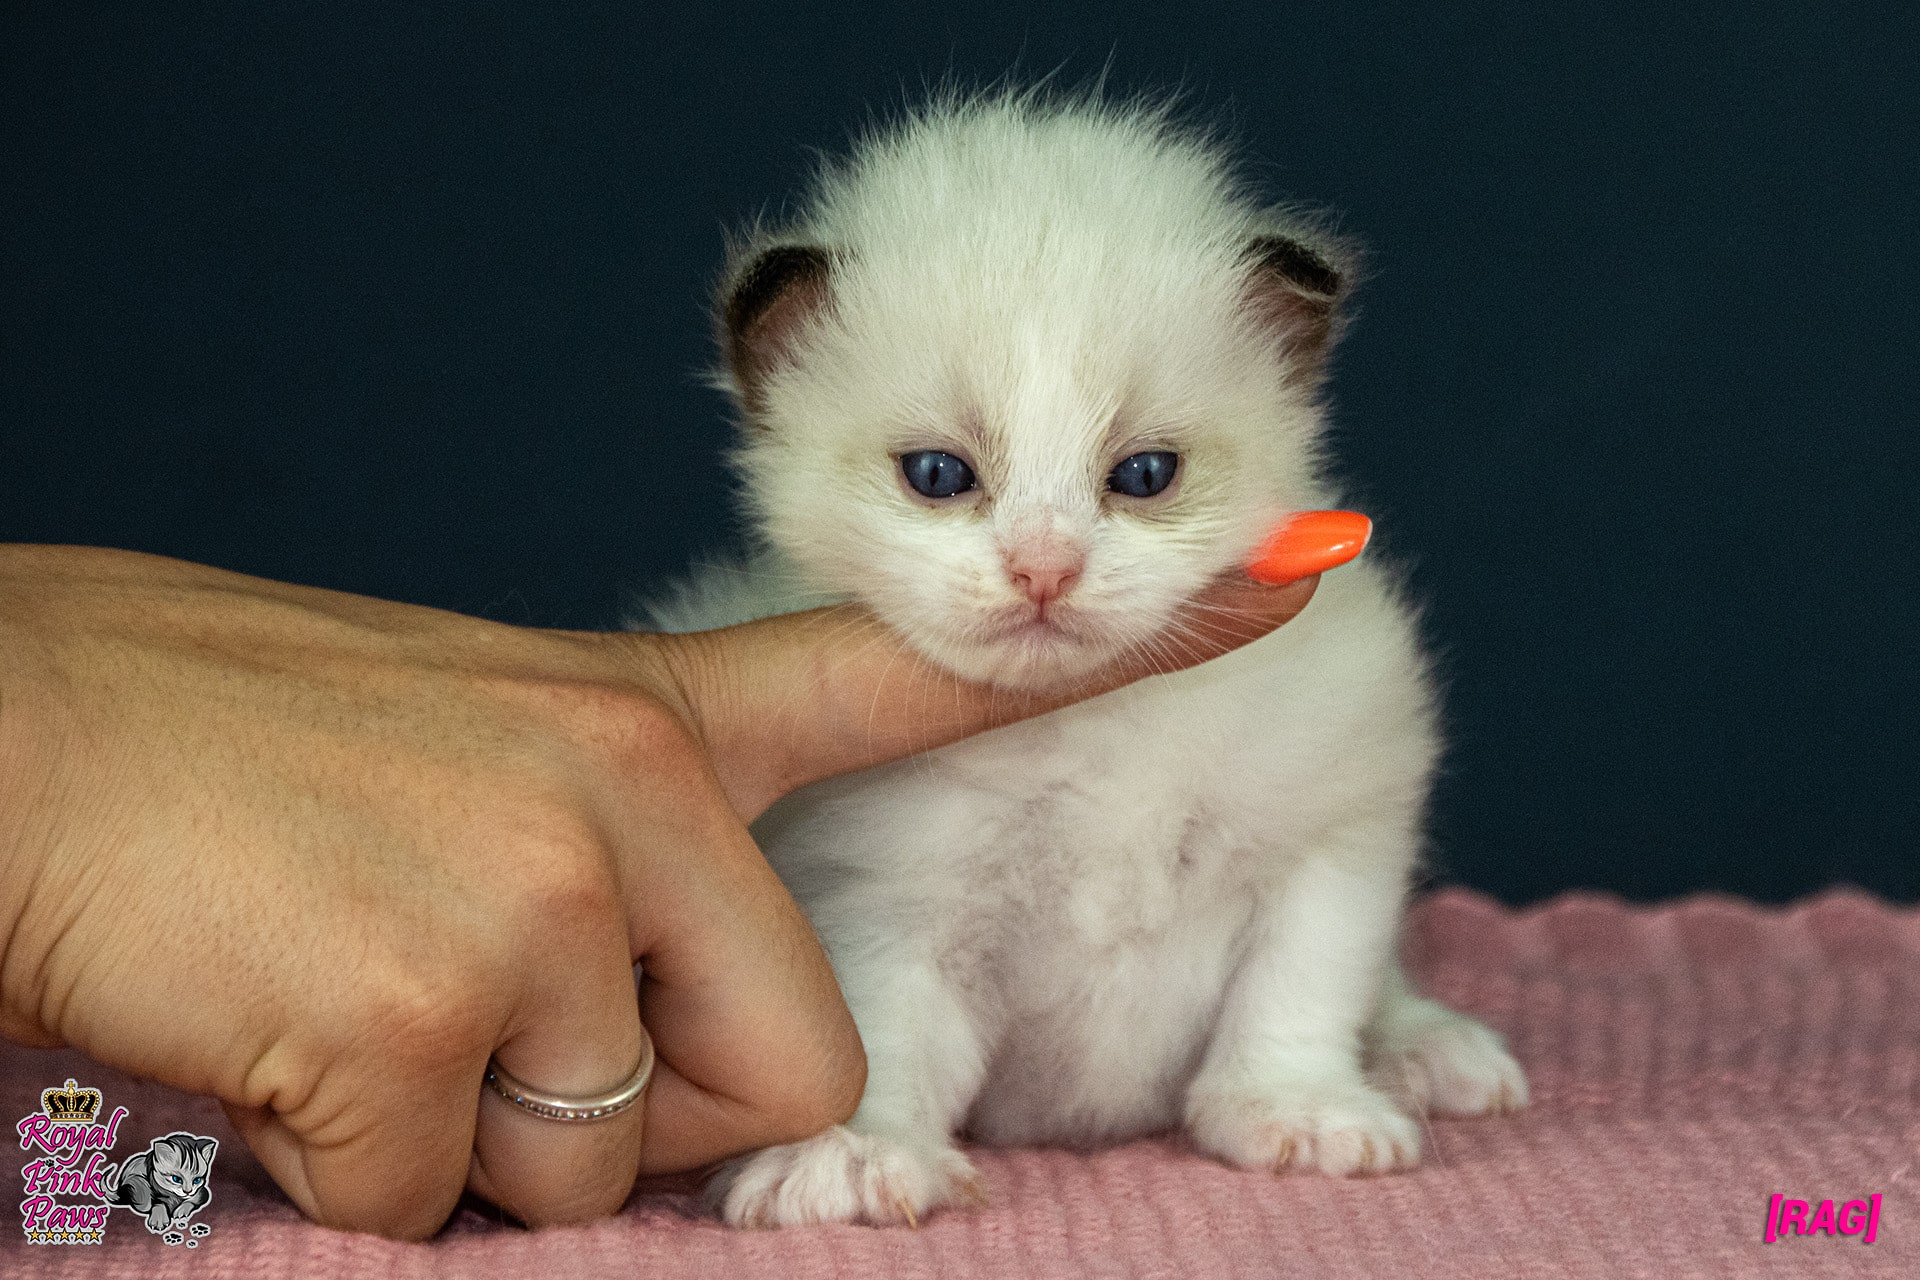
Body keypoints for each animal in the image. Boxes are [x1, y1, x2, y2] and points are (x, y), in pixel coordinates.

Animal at [645, 90, 1528, 1228]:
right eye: (938, 475)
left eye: (1145, 475)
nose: (1045, 569)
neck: (1092, 726)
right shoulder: (880, 907)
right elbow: (874, 1041)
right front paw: (854, 1154)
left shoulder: (1329, 843)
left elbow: (1298, 987)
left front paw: (1299, 1111)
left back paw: (1431, 1052)